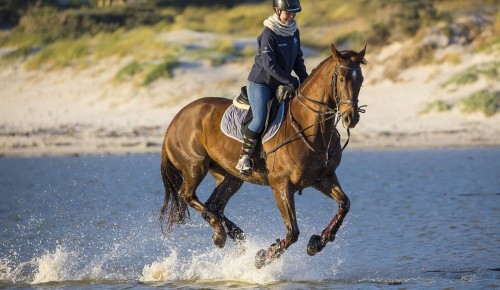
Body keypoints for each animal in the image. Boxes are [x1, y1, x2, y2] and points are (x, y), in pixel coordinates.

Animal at [160, 44, 368, 268]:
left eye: (361, 79)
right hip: (194, 167)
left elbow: (344, 204)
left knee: (214, 205)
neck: (312, 128)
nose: (351, 118)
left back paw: (232, 235)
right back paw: (220, 234)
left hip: (230, 177)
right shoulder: (281, 186)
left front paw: (316, 243)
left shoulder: (323, 178)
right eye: (342, 79)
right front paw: (263, 256)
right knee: (187, 195)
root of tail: (176, 119)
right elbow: (292, 232)